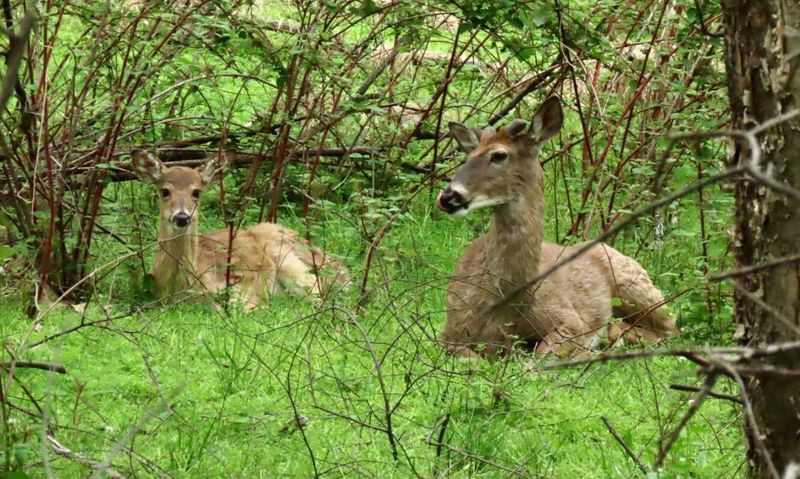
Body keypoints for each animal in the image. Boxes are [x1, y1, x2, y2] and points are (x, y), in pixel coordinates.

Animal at [437, 97, 676, 358]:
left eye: (499, 155)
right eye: (469, 155)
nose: (448, 196)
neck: (503, 315)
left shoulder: (569, 319)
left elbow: (538, 358)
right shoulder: (449, 333)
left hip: (637, 286)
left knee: (670, 327)